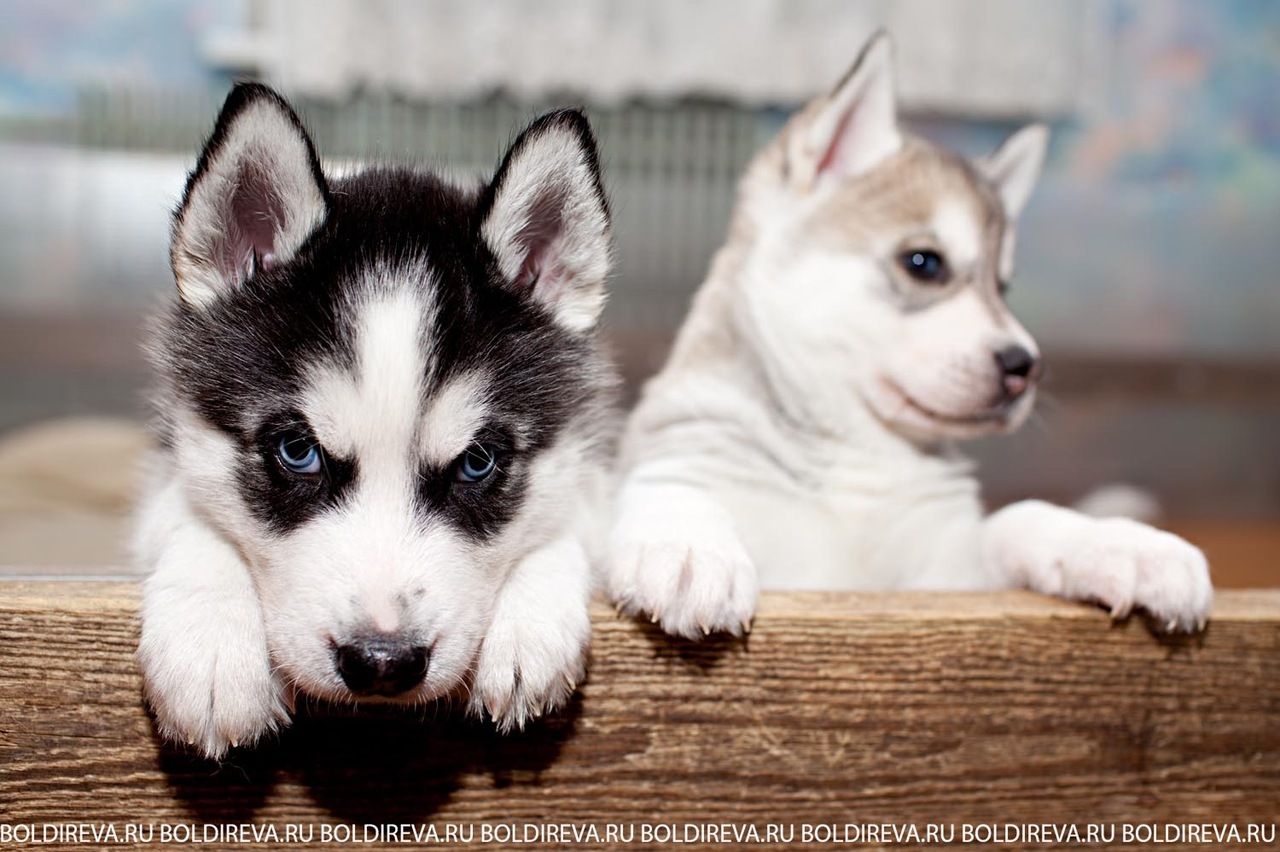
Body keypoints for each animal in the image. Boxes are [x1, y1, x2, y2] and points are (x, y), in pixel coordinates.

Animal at [137, 83, 616, 752]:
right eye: (297, 451)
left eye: (477, 463)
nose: (383, 663)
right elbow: (197, 518)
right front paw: (210, 639)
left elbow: (562, 519)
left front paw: (531, 619)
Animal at [606, 36, 1208, 639]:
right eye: (924, 263)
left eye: (1003, 287)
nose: (1025, 366)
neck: (858, 455)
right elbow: (675, 487)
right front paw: (686, 543)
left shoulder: (947, 576)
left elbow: (1019, 515)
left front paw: (1125, 543)